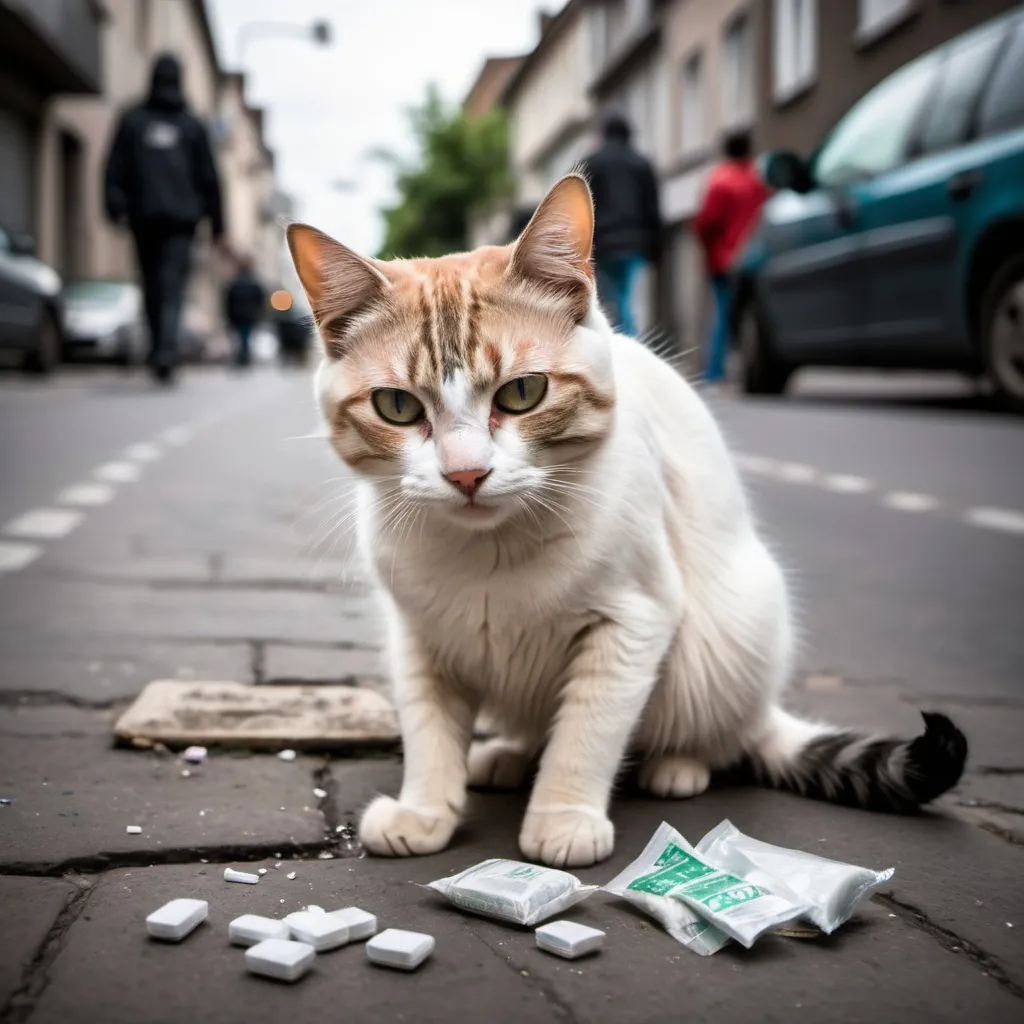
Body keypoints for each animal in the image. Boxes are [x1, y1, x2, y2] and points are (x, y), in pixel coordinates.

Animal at [288, 174, 966, 864]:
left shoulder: (632, 621)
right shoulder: (419, 638)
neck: (490, 552)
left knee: (721, 738)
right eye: (397, 407)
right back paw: (506, 755)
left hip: (730, 641)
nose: (466, 474)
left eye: (522, 393)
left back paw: (677, 766)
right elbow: (428, 731)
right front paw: (425, 811)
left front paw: (563, 818)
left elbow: (586, 733)